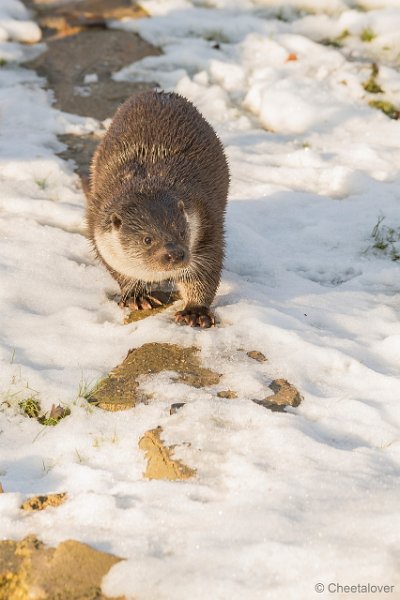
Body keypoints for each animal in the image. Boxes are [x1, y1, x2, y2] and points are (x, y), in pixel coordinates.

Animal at [88, 90, 231, 328]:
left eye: (182, 231)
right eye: (147, 239)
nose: (175, 253)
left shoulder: (207, 221)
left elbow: (204, 271)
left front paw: (195, 311)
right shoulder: (96, 223)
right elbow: (118, 269)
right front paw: (136, 295)